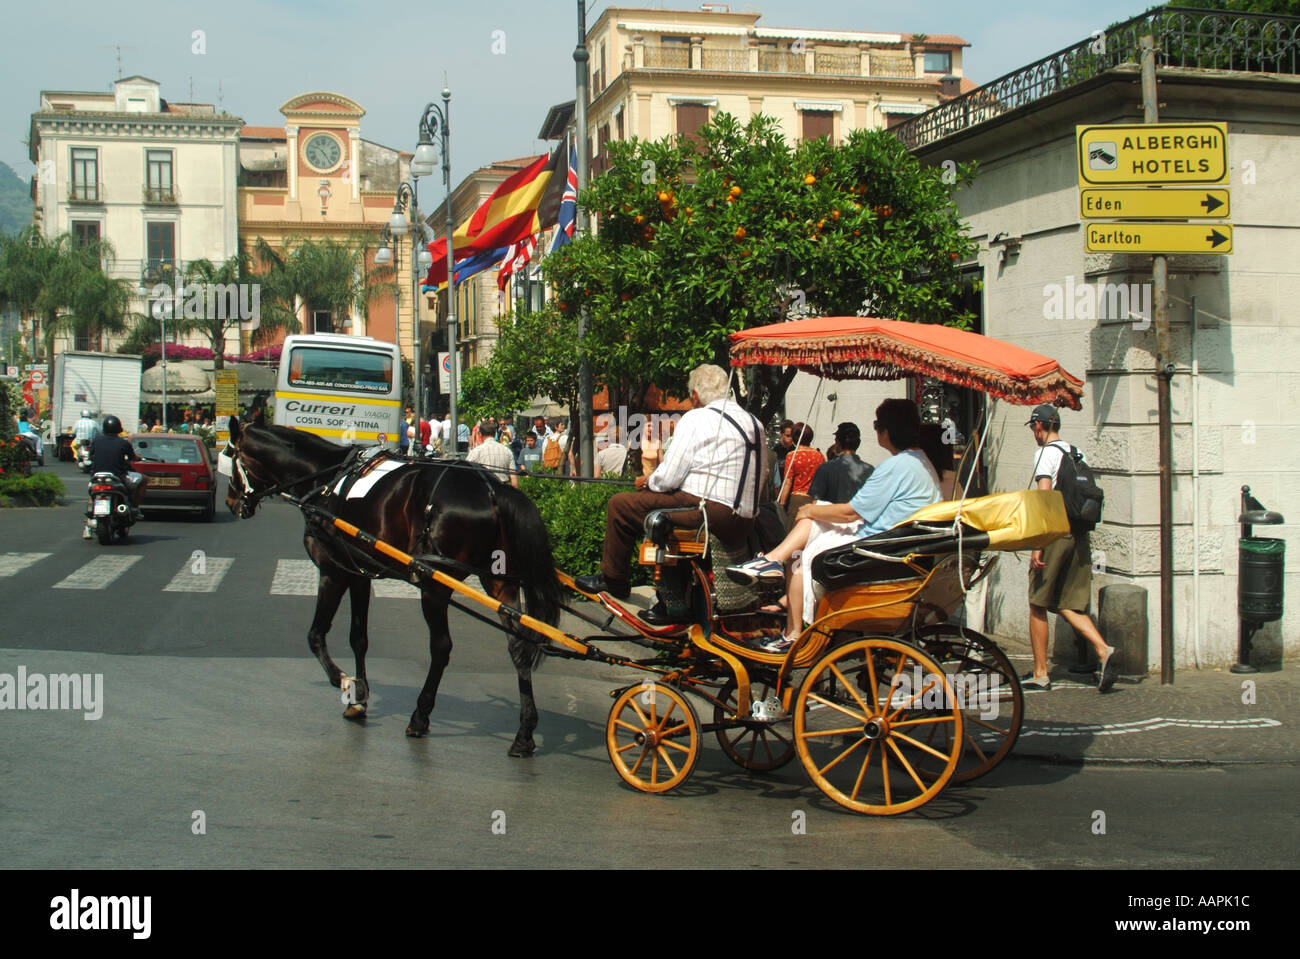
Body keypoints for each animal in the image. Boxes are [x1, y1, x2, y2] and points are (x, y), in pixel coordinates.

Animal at [227, 418, 559, 753]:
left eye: (231, 457)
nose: (231, 501)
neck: (324, 480)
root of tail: (491, 488)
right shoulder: (359, 574)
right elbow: (358, 638)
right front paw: (359, 698)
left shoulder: (334, 572)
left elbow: (316, 635)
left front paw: (346, 683)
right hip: (500, 583)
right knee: (518, 647)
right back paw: (524, 733)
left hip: (434, 585)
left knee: (441, 647)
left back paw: (420, 716)